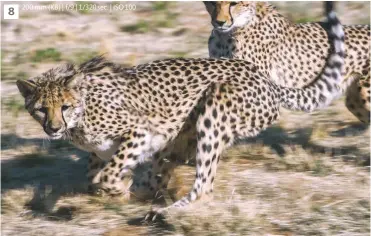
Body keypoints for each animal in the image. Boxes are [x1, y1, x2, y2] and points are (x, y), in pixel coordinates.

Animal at [16, 2, 344, 218]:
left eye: (65, 107)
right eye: (41, 109)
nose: (53, 128)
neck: (82, 113)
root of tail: (263, 77)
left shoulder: (139, 131)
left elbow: (106, 176)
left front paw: (117, 191)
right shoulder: (114, 150)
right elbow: (96, 177)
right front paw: (118, 191)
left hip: (216, 106)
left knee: (205, 185)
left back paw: (169, 212)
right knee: (168, 171)